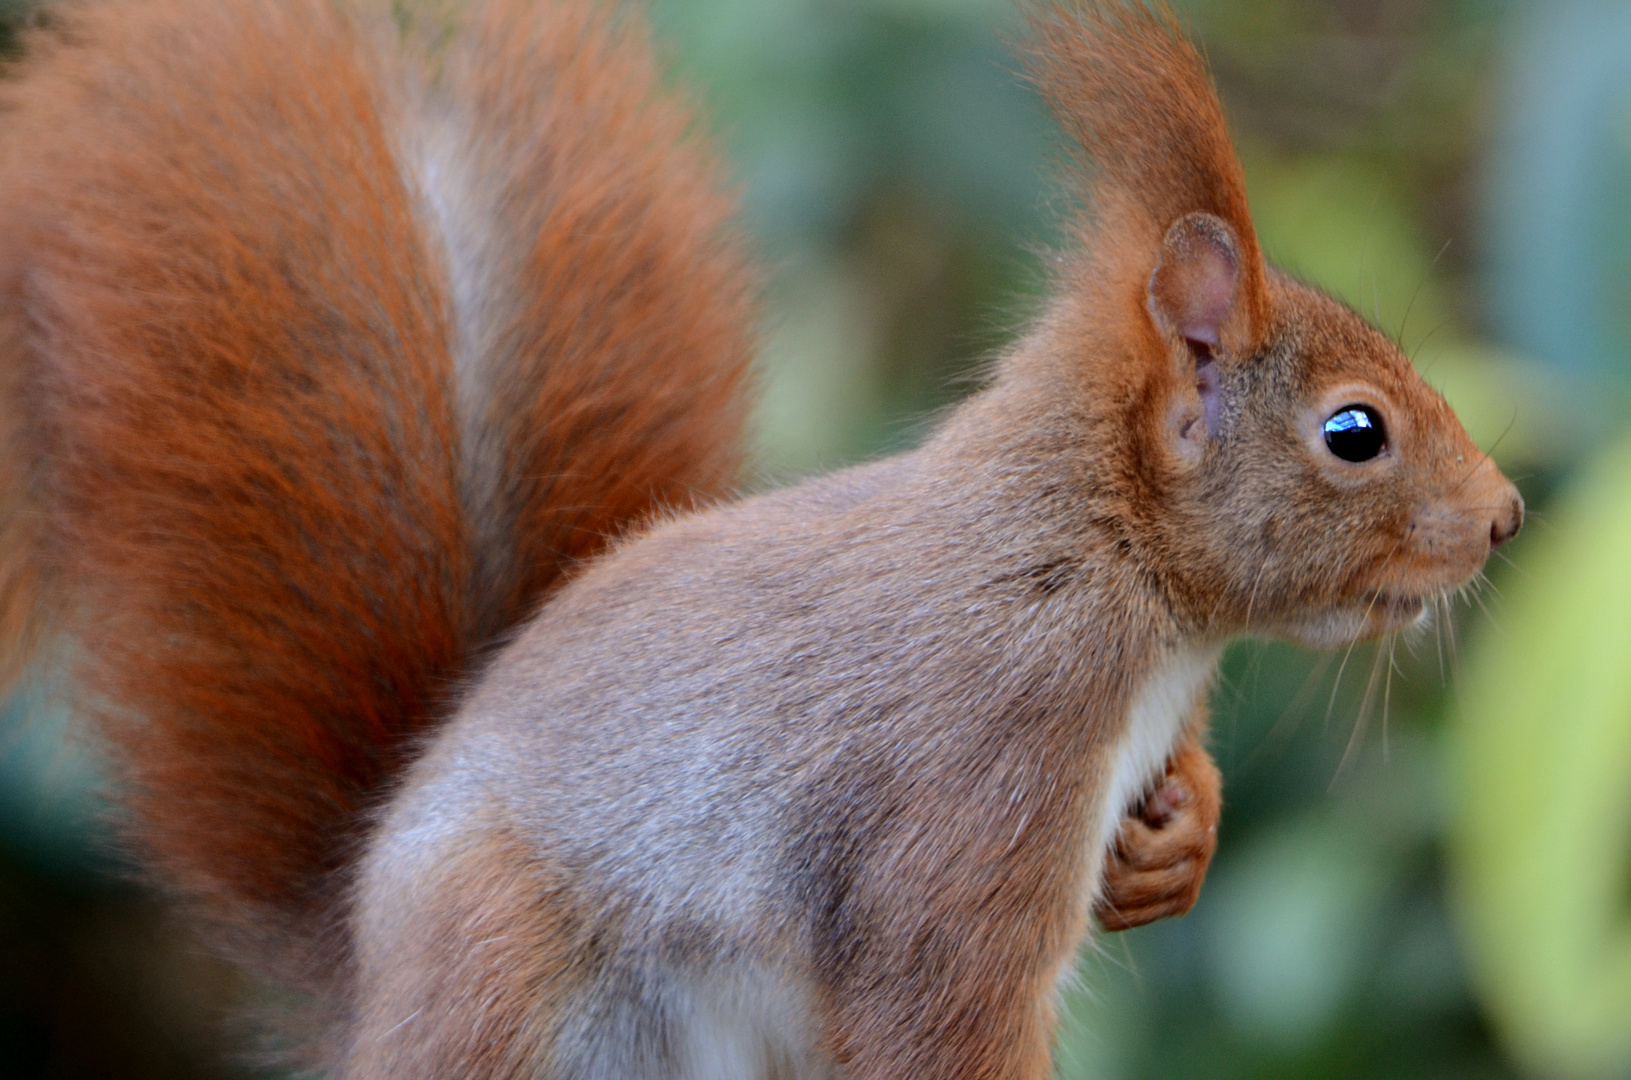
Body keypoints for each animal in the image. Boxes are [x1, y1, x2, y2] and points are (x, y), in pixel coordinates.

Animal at [0, 0, 1520, 1076]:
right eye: (1352, 432)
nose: (1503, 517)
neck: (1099, 571)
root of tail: (365, 976)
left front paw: (1175, 839)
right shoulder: (975, 782)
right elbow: (938, 1016)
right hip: (502, 970)